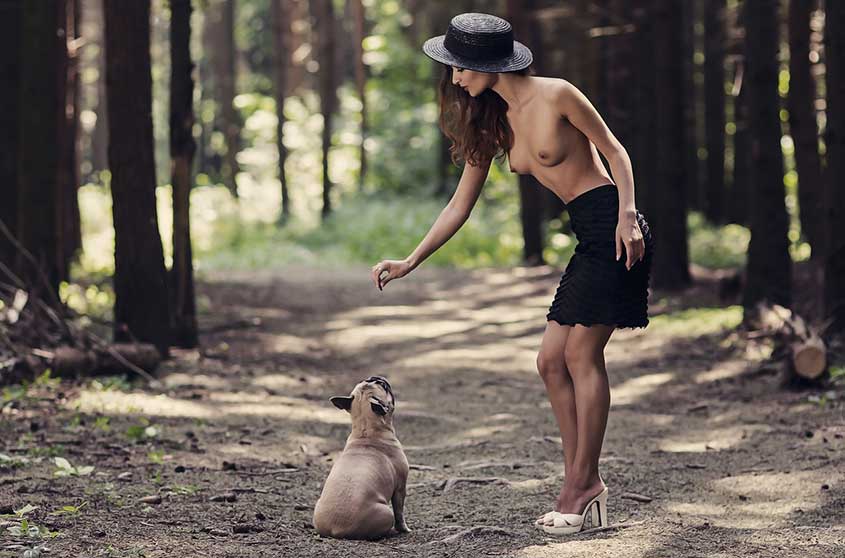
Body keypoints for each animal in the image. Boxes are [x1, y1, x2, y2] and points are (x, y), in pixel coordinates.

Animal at [314, 378, 412, 540]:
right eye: (383, 386)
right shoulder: (400, 487)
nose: (377, 377)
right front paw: (404, 529)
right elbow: (400, 513)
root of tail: (337, 530)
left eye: (368, 380)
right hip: (387, 512)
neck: (366, 432)